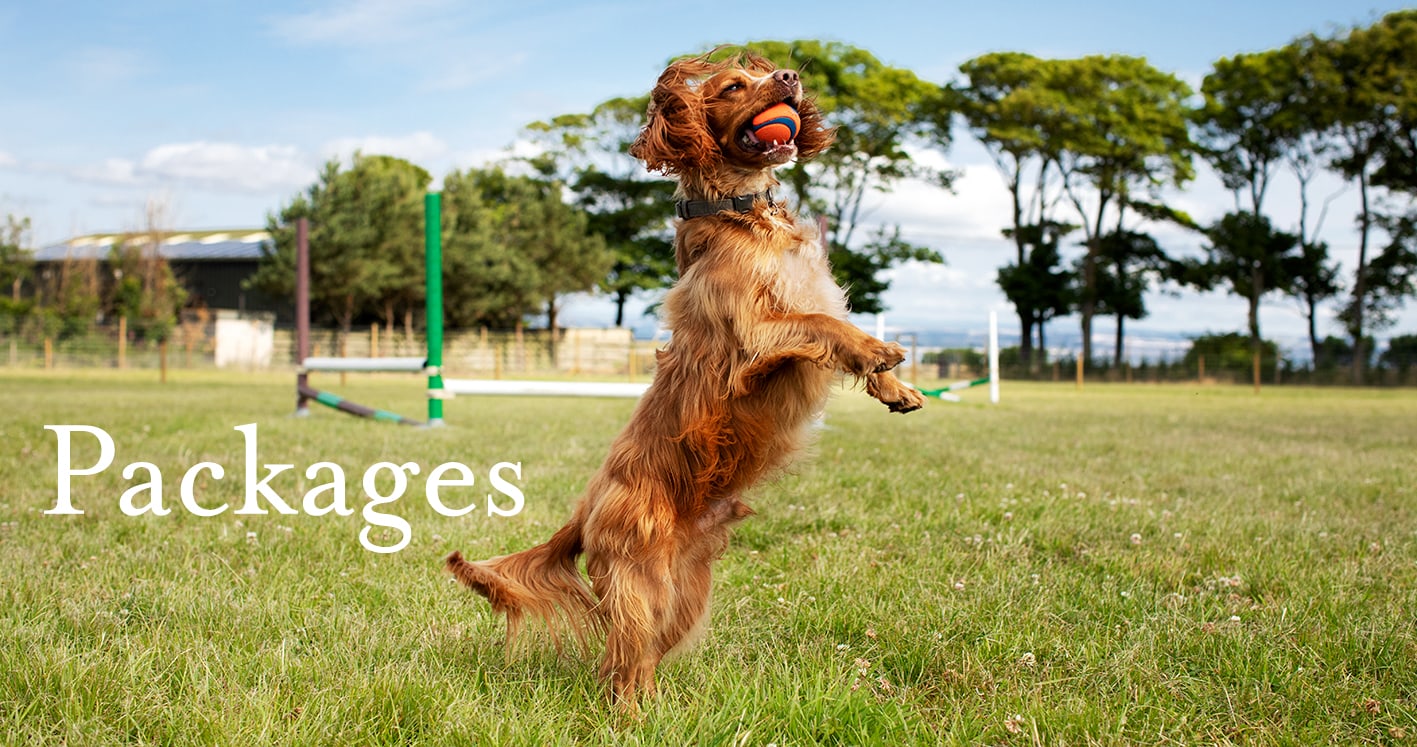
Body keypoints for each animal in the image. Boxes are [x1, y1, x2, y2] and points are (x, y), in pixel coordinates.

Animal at [444, 51, 929, 708]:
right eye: (734, 86)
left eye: (771, 72)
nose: (789, 79)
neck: (744, 214)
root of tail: (584, 507)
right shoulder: (754, 332)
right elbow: (824, 326)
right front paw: (879, 351)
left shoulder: (812, 294)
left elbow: (838, 327)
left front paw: (894, 387)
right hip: (639, 580)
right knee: (623, 661)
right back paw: (634, 716)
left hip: (686, 589)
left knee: (636, 657)